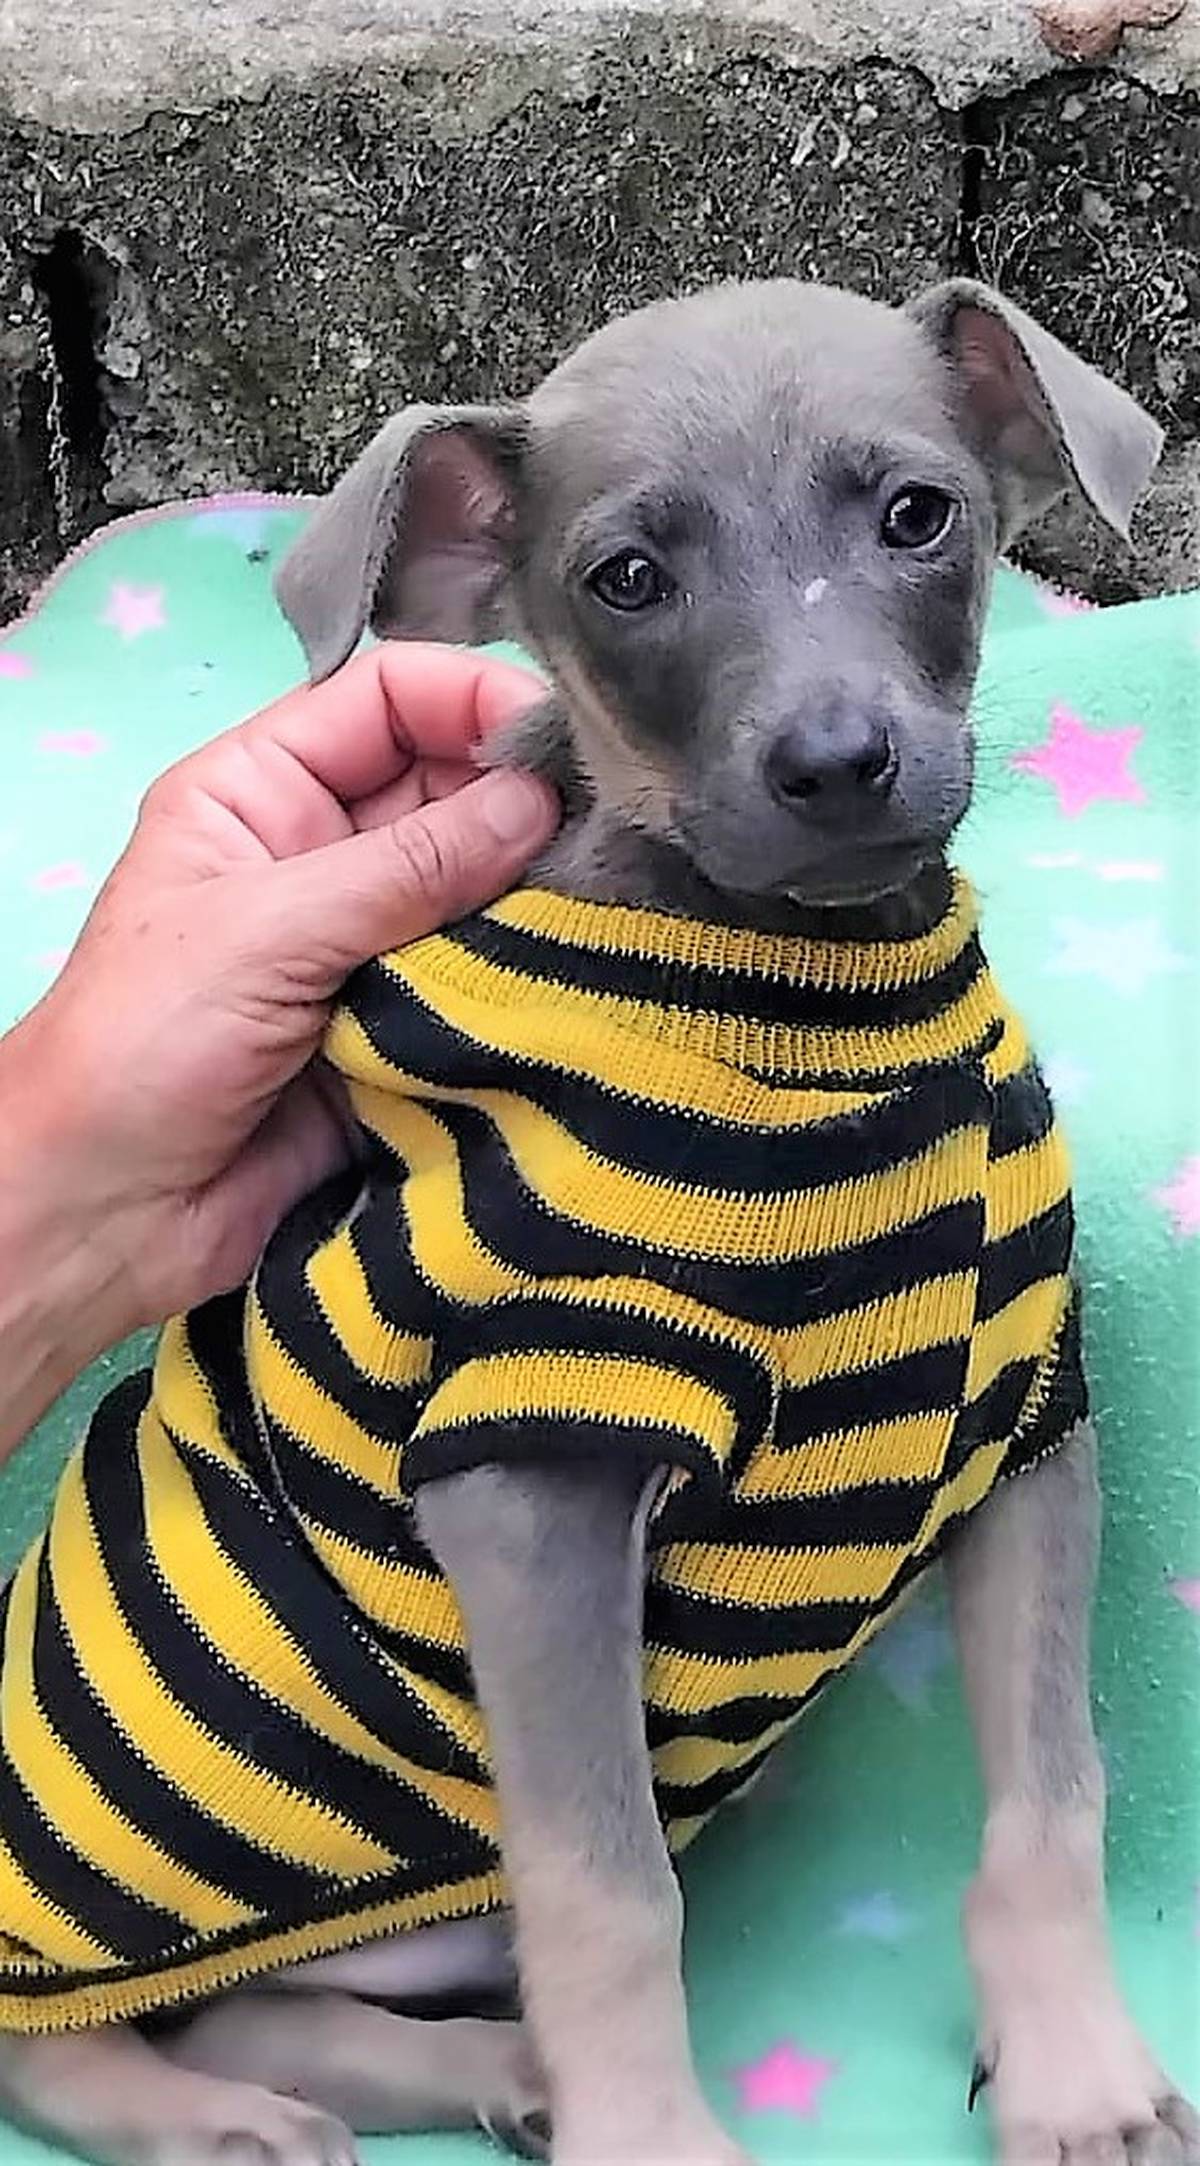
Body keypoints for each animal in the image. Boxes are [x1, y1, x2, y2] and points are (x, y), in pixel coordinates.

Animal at [0, 277, 1195, 2166]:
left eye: (918, 514)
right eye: (626, 576)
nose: (839, 762)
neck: (810, 996)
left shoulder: (1020, 1423)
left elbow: (1053, 1786)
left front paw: (1079, 2065)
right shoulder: (529, 1485)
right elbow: (614, 1895)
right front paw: (652, 2134)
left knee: (262, 2002)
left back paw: (479, 2078)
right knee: (78, 2022)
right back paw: (214, 2116)